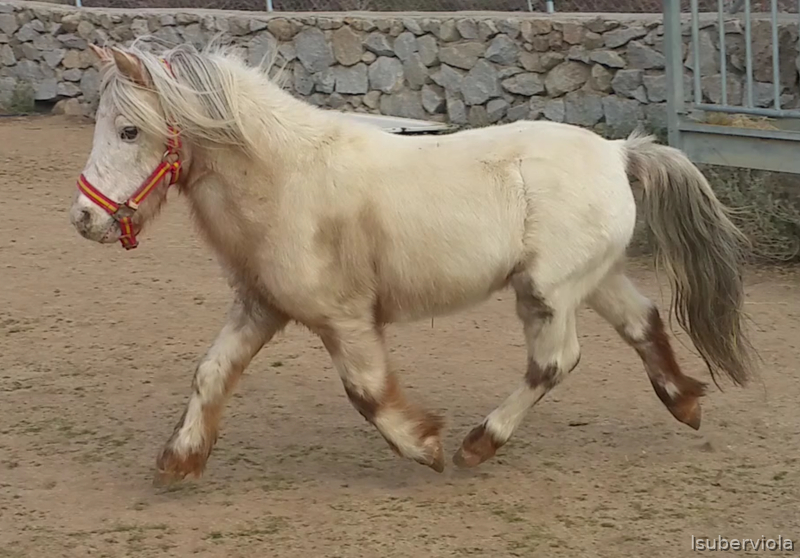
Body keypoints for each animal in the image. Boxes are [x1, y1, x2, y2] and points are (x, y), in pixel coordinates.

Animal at [68, 40, 756, 486]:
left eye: (129, 131)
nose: (84, 219)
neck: (287, 177)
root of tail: (618, 152)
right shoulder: (261, 306)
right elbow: (210, 372)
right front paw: (180, 459)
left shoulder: (343, 318)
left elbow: (367, 392)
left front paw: (426, 446)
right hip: (593, 279)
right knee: (643, 322)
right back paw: (685, 402)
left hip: (548, 291)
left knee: (556, 361)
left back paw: (480, 443)